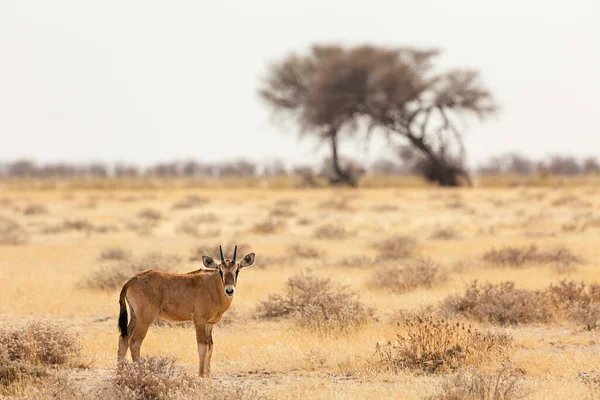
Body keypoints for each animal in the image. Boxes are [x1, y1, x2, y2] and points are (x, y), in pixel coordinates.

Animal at [117, 244, 255, 378]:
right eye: (220, 270)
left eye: (237, 270)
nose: (229, 290)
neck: (213, 286)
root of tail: (131, 280)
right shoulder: (199, 321)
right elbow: (202, 347)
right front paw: (201, 376)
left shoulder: (209, 324)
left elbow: (210, 347)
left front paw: (208, 377)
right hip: (145, 318)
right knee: (134, 342)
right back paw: (140, 373)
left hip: (135, 317)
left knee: (123, 339)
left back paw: (120, 375)